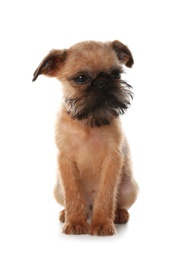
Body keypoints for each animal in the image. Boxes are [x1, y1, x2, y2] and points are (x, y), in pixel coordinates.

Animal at [32, 39, 138, 236]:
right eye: (81, 78)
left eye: (116, 74)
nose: (103, 82)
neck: (88, 124)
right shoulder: (65, 160)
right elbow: (72, 193)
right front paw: (74, 222)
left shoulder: (113, 159)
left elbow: (106, 195)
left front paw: (102, 224)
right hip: (57, 189)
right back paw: (65, 214)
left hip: (130, 188)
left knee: (118, 204)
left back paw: (118, 214)